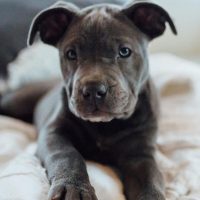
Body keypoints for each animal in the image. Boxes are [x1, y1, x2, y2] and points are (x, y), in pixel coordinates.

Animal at [1, 0, 177, 200]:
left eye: (124, 51)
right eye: (71, 54)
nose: (93, 90)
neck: (105, 126)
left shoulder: (140, 154)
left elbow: (149, 179)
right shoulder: (53, 134)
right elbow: (67, 155)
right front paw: (73, 187)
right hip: (15, 101)